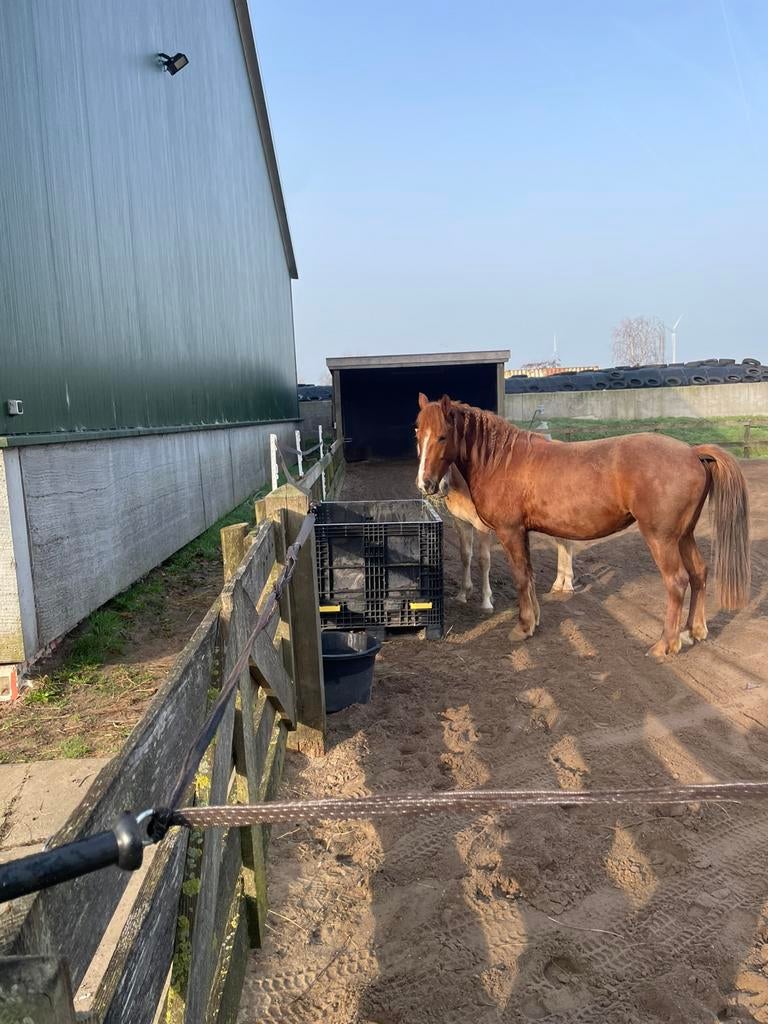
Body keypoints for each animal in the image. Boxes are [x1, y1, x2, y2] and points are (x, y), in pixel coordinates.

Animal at [428, 463, 575, 611]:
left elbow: (484, 561)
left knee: (566, 543)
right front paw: (463, 593)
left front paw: (487, 601)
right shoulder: (461, 522)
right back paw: (558, 586)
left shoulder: (482, 527)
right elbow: (465, 556)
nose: (439, 488)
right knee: (563, 543)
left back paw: (567, 586)